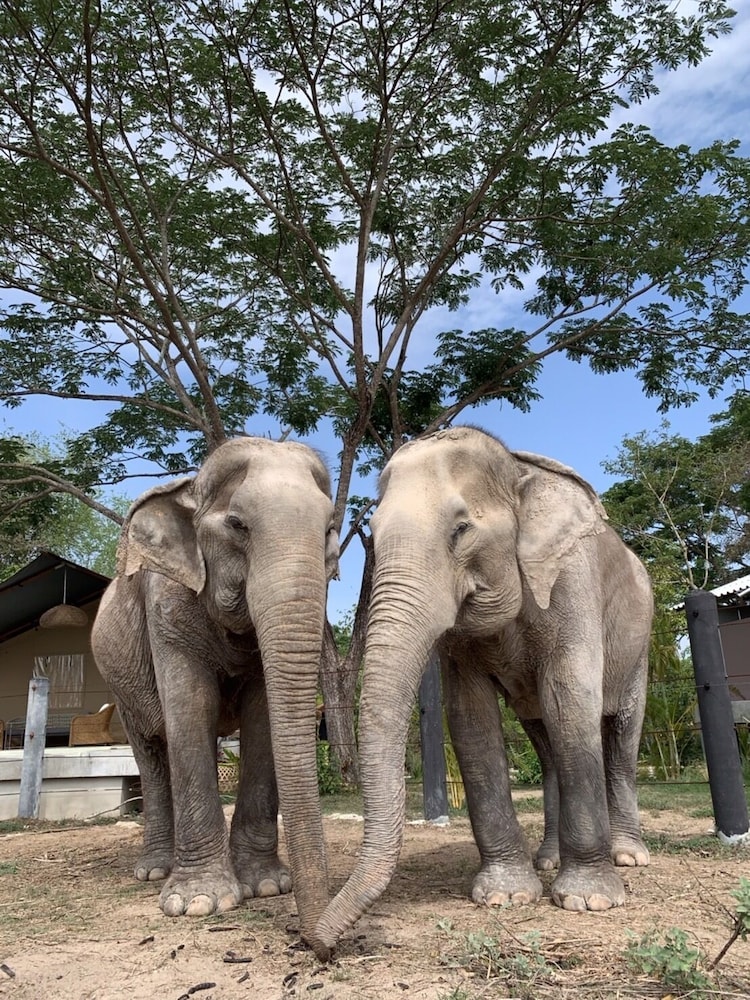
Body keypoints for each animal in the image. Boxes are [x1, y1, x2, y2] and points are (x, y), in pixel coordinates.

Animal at [91, 436, 339, 955]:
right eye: (237, 525)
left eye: (329, 530)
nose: (322, 949)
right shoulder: (166, 606)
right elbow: (191, 709)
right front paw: (197, 904)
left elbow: (262, 719)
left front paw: (265, 886)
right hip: (119, 682)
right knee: (152, 753)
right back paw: (154, 871)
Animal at [316, 426, 652, 953]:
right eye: (374, 531)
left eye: (460, 530)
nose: (319, 945)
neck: (517, 471)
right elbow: (470, 717)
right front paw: (504, 897)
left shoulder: (572, 582)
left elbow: (570, 702)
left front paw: (589, 901)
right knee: (544, 741)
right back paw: (547, 860)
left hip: (639, 645)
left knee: (619, 737)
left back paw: (629, 857)